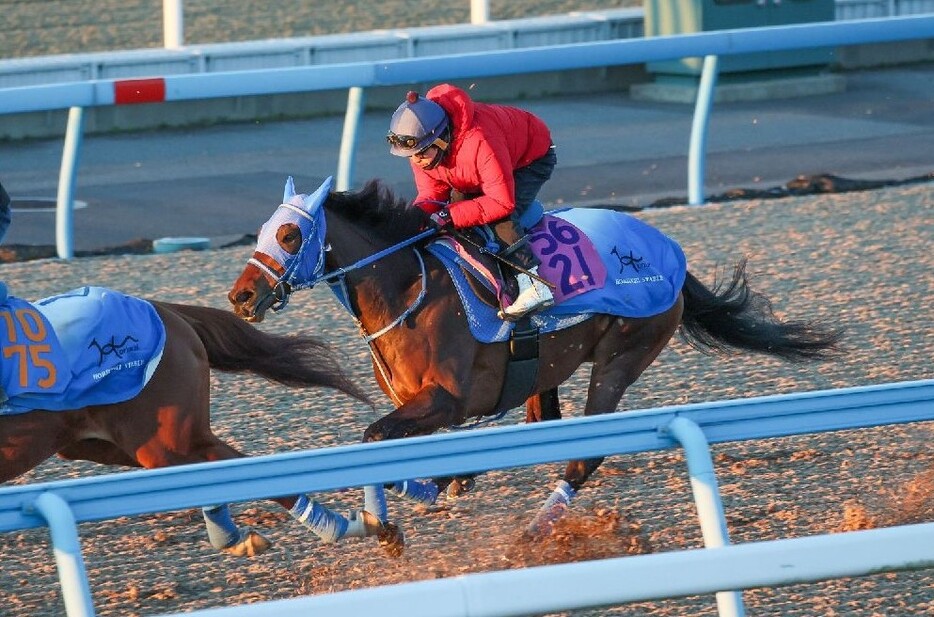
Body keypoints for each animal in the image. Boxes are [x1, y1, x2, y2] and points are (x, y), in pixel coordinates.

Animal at [0, 286, 402, 556]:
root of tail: (161, 308)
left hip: (163, 441)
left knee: (232, 468)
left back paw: (339, 526)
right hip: (110, 443)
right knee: (214, 470)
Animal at [229, 177, 848, 540]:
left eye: (290, 235)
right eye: (261, 230)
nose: (241, 297)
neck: (409, 290)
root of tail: (670, 251)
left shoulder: (447, 401)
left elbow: (373, 439)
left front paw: (391, 522)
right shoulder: (425, 405)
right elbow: (388, 446)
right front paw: (431, 492)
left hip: (621, 358)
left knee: (584, 453)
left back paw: (533, 529)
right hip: (545, 367)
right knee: (542, 426)